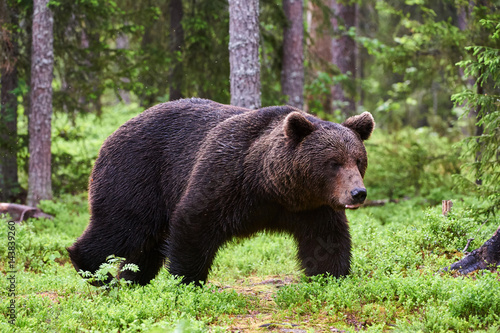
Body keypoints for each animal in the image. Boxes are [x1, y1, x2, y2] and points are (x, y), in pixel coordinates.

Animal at [66, 97, 374, 284]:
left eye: (358, 160)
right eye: (333, 162)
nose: (358, 193)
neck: (271, 186)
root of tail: (112, 133)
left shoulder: (312, 207)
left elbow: (326, 242)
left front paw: (331, 277)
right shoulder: (226, 176)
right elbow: (194, 224)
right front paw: (186, 281)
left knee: (145, 247)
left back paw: (132, 280)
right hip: (138, 177)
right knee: (121, 227)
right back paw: (94, 272)